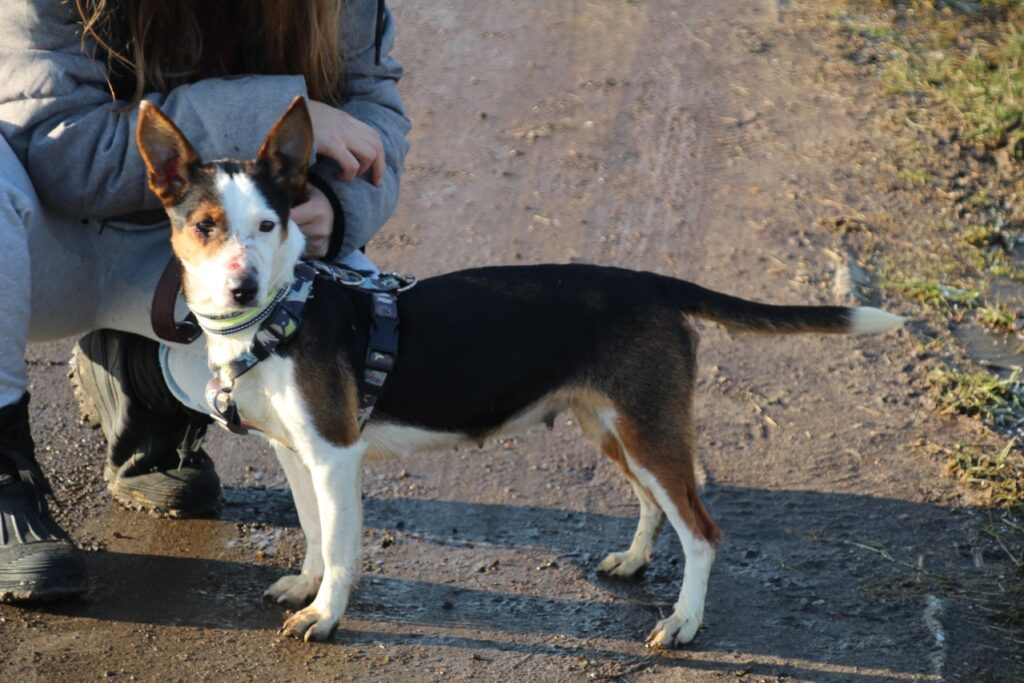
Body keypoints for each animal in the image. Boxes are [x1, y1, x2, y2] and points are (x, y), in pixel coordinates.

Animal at [136, 96, 905, 647]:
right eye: (205, 225)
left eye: (268, 225)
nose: (242, 287)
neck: (279, 317)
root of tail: (652, 284)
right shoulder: (296, 454)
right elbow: (316, 531)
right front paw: (306, 586)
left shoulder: (336, 455)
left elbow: (345, 545)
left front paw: (326, 615)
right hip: (616, 428)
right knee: (656, 503)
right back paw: (633, 562)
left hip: (647, 428)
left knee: (702, 531)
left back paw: (684, 621)